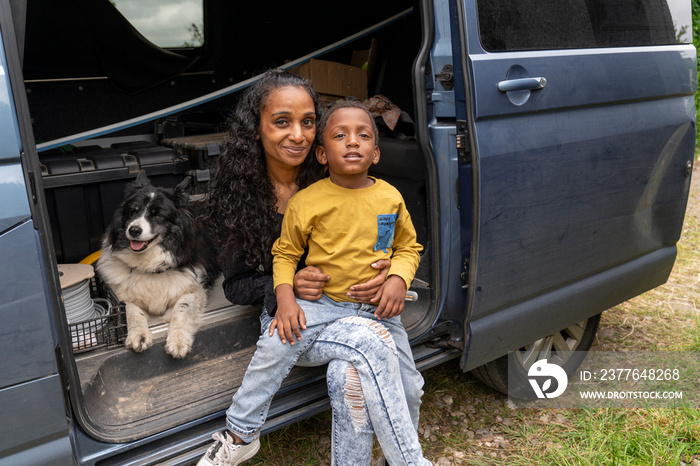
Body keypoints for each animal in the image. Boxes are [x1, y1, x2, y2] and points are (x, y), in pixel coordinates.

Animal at [97, 173, 219, 358]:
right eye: (132, 211)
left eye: (158, 215)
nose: (134, 230)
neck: (151, 267)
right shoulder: (122, 296)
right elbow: (131, 311)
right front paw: (139, 335)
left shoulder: (194, 290)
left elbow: (181, 310)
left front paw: (178, 340)